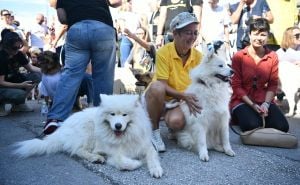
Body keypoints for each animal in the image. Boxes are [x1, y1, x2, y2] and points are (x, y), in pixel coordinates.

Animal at [13, 94, 163, 178]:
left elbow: (152, 157)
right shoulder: (114, 153)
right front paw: (136, 163)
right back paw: (95, 157)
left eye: (125, 115)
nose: (118, 126)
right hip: (88, 131)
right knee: (78, 150)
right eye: (112, 114)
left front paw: (156, 170)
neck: (124, 137)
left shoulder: (145, 146)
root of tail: (62, 128)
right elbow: (122, 162)